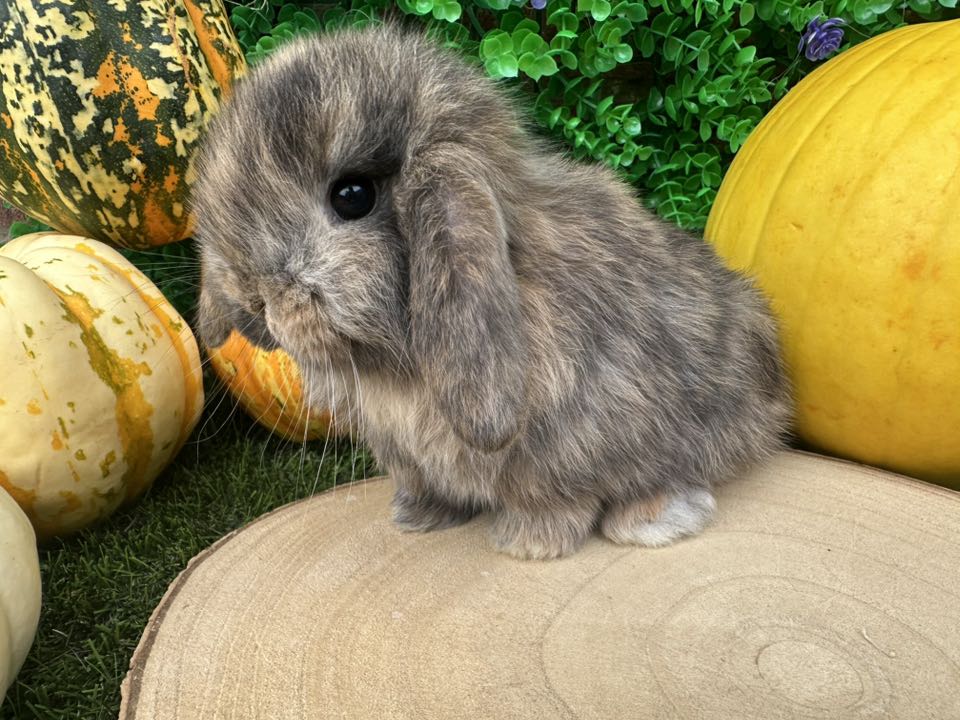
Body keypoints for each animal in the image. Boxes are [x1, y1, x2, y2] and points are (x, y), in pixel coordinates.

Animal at [193, 23, 793, 560]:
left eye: (352, 196)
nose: (253, 300)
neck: (399, 369)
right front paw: (416, 517)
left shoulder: (572, 445)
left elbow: (557, 501)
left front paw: (528, 544)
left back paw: (653, 518)